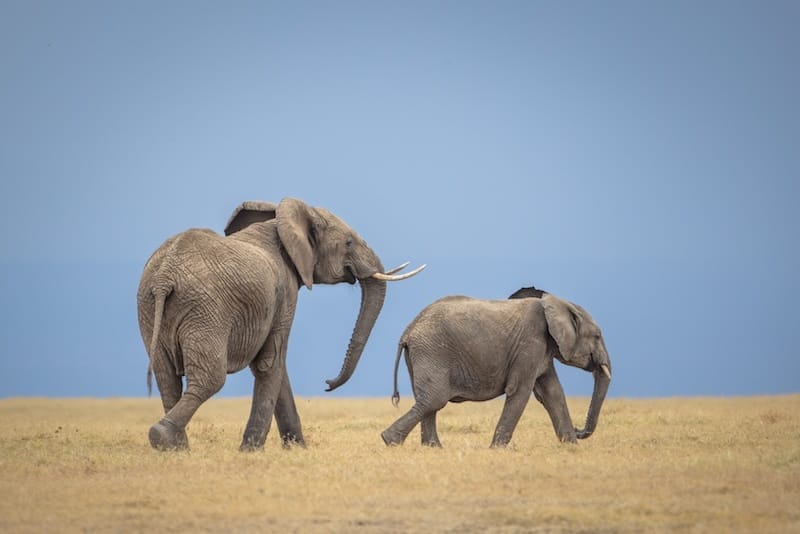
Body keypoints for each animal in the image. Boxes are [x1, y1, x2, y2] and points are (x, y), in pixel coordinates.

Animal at [137, 197, 424, 451]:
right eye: (349, 242)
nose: (327, 383)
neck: (282, 221)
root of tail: (164, 278)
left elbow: (277, 367)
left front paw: (297, 448)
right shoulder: (285, 291)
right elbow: (270, 361)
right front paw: (251, 450)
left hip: (150, 309)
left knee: (166, 379)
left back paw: (177, 448)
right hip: (205, 311)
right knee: (209, 379)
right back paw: (162, 436)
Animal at [381, 286, 611, 448]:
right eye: (597, 336)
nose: (578, 429)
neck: (557, 303)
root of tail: (408, 330)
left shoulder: (543, 350)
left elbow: (552, 393)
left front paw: (571, 446)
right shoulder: (531, 343)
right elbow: (520, 391)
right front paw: (497, 448)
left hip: (423, 353)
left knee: (427, 400)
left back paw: (432, 448)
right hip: (432, 351)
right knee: (434, 399)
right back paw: (390, 440)